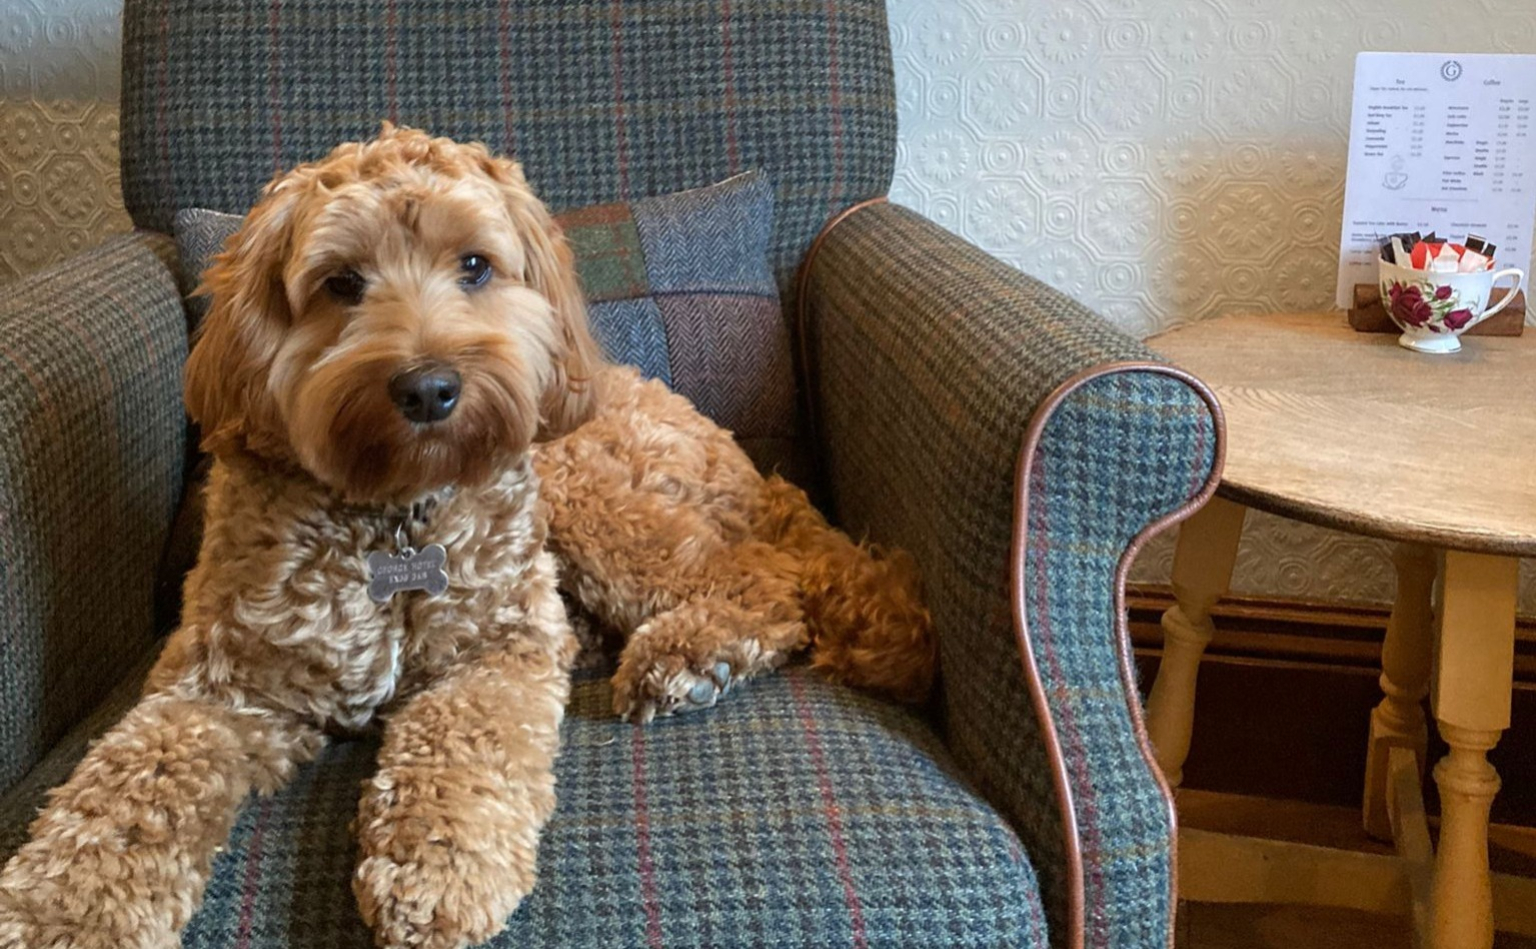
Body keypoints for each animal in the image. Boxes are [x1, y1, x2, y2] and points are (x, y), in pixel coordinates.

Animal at [0, 123, 599, 945]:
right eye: (342, 282)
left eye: (474, 265)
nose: (429, 388)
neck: (390, 513)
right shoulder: (217, 687)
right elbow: (132, 781)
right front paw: (62, 908)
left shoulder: (503, 642)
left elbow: (466, 732)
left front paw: (440, 866)